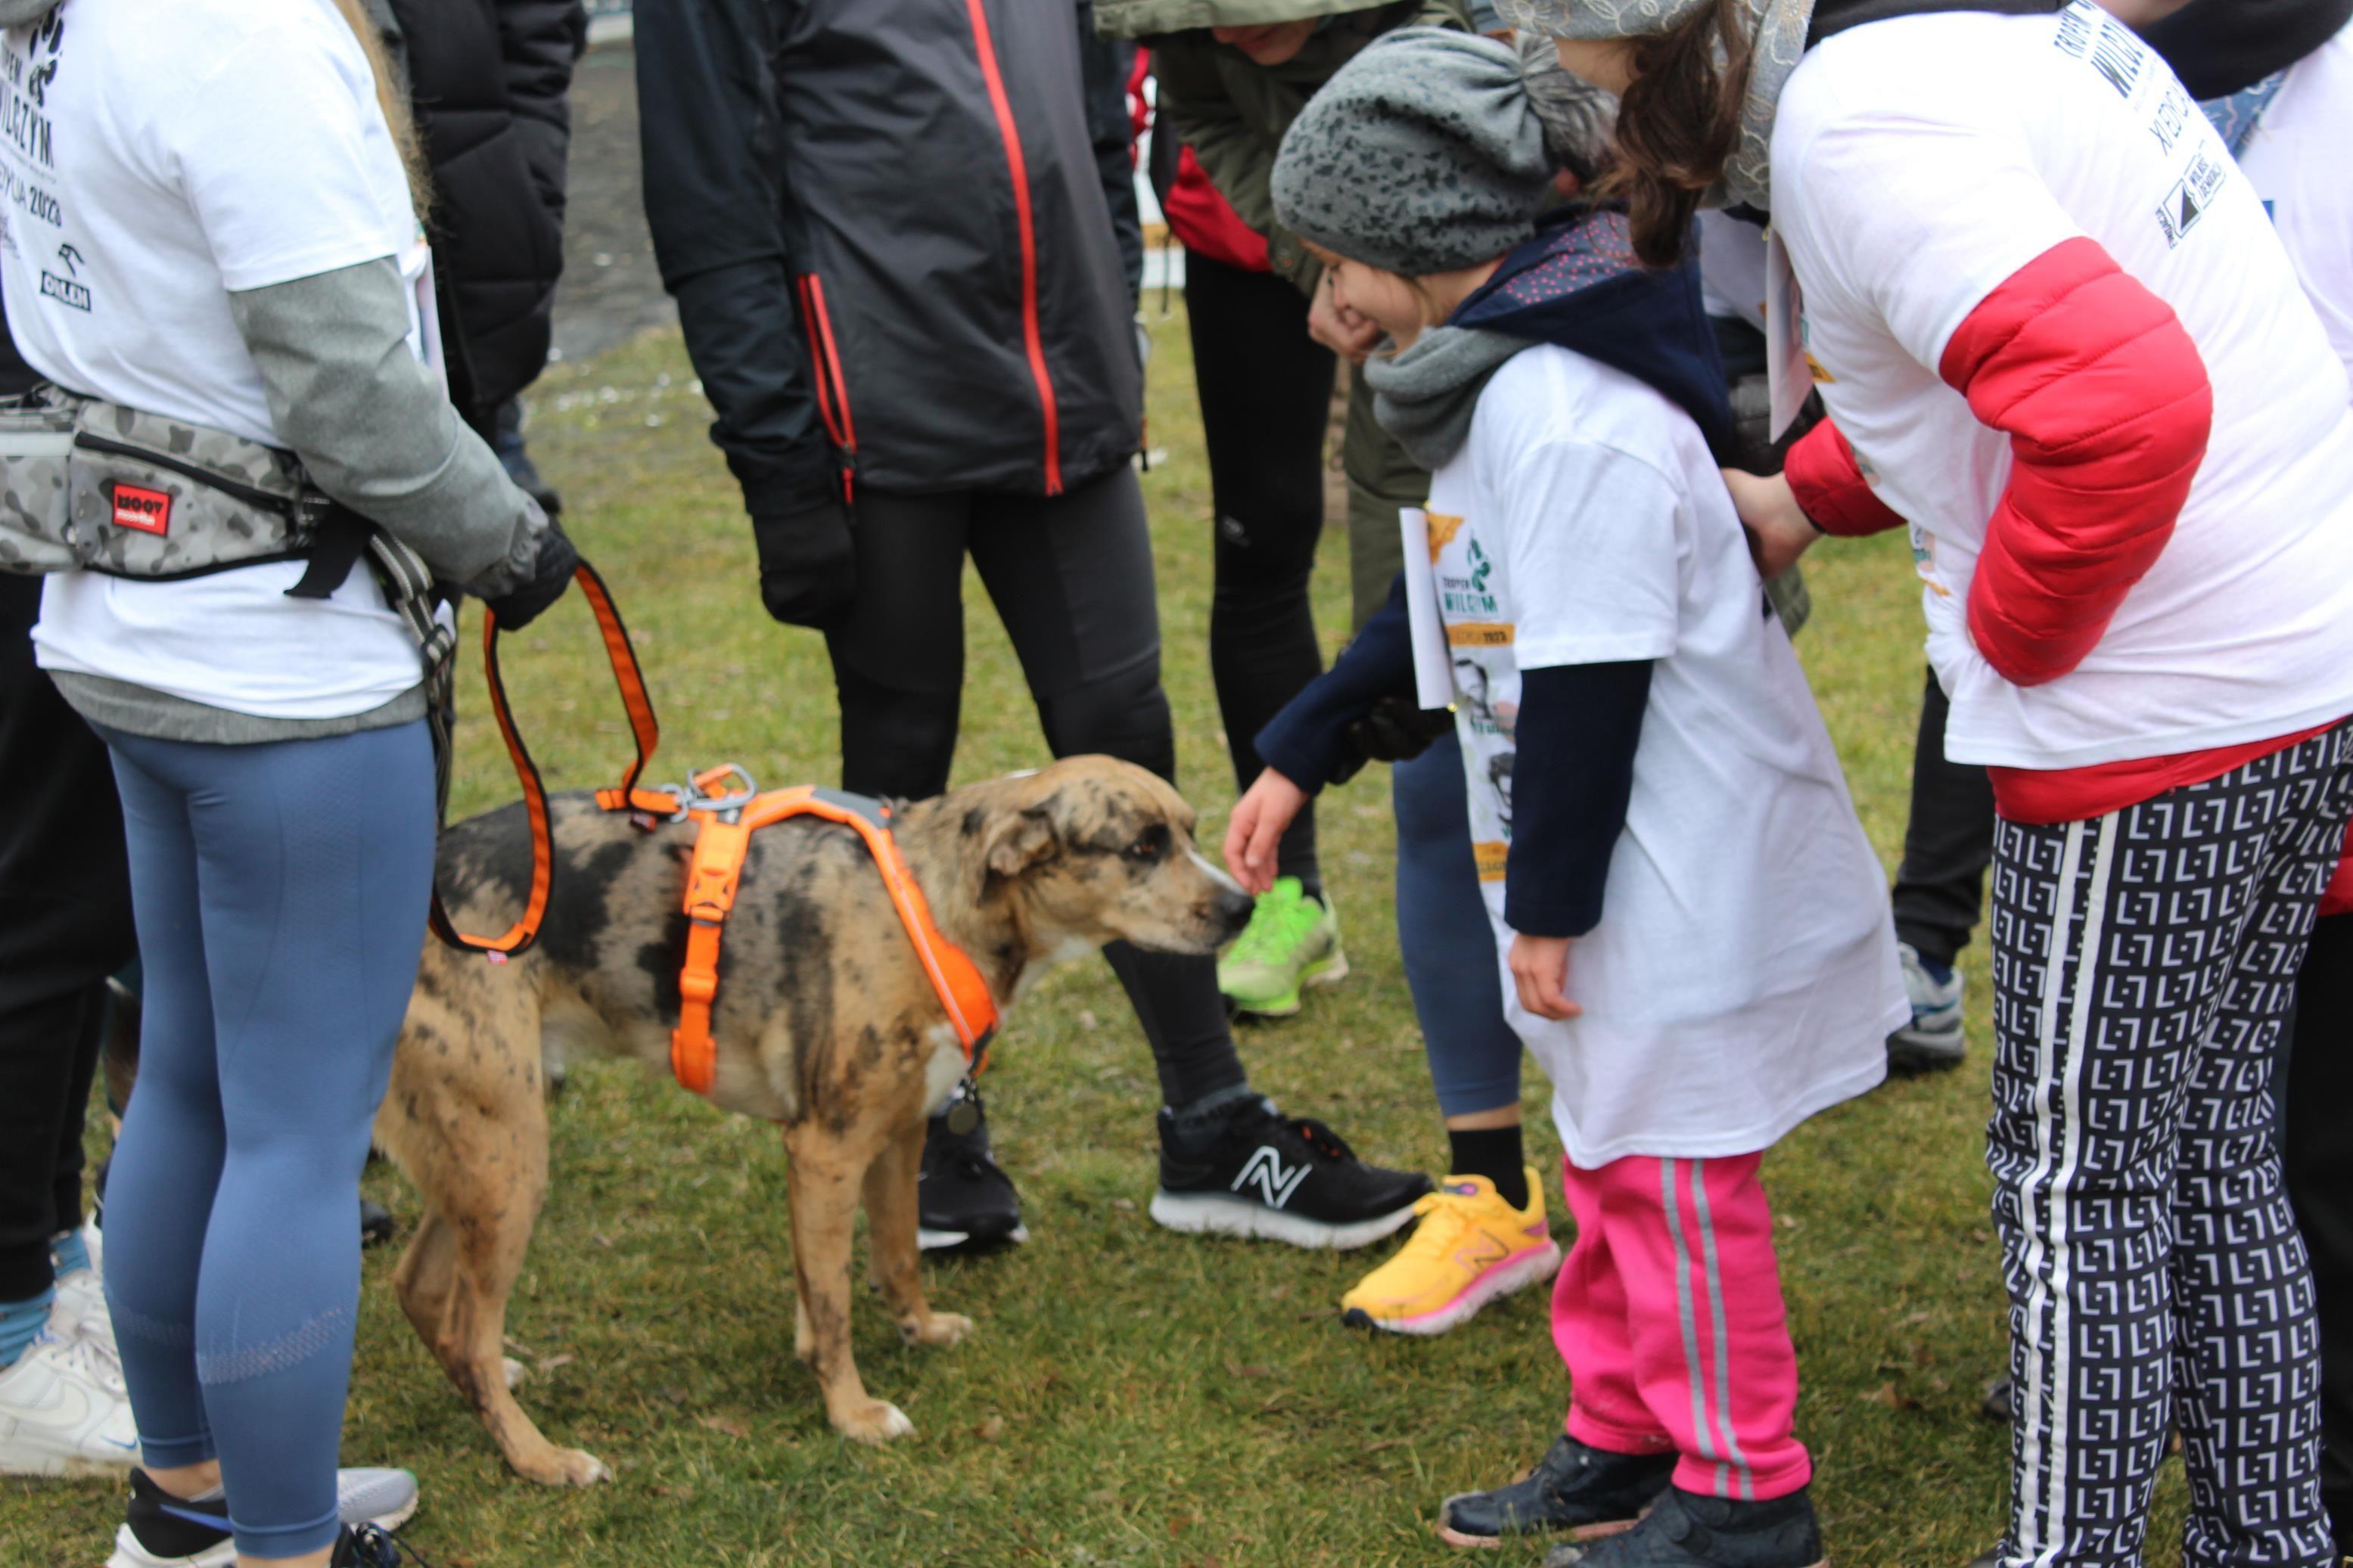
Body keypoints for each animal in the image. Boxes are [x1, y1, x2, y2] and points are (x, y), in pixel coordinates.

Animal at [359, 756, 1260, 1486]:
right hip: (509, 1156)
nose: (1244, 905)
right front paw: (852, 1413)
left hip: (483, 1151)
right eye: (1140, 846)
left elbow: (893, 1257)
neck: (935, 901)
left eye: (1188, 831)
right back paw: (538, 1458)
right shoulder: (825, 1152)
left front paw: (918, 1331)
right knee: (468, 1325)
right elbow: (831, 1303)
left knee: (422, 1289)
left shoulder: (898, 1135)